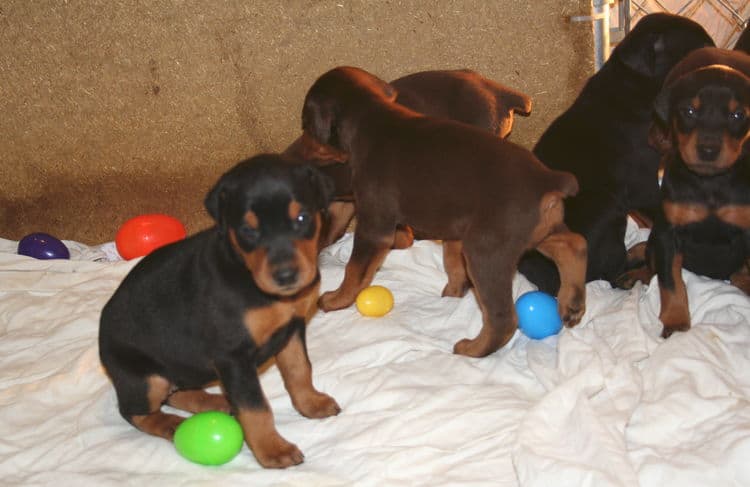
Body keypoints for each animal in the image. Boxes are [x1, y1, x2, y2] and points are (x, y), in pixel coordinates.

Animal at [98, 155, 340, 468]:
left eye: (302, 218)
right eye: (248, 229)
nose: (286, 276)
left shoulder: (292, 329)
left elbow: (299, 370)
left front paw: (311, 403)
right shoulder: (232, 356)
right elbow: (255, 408)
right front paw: (273, 450)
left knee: (176, 393)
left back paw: (216, 402)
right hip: (146, 378)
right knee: (134, 411)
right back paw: (172, 423)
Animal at [300, 66, 588, 358]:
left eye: (305, 124)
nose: (302, 151)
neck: (372, 116)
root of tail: (548, 180)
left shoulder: (374, 226)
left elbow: (354, 269)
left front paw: (336, 299)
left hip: (487, 250)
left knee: (503, 318)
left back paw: (472, 348)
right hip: (531, 232)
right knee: (573, 244)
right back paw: (572, 304)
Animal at [640, 48, 750, 340]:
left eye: (737, 115)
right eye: (689, 111)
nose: (708, 150)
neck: (710, 183)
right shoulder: (667, 233)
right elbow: (671, 283)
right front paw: (676, 321)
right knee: (649, 260)